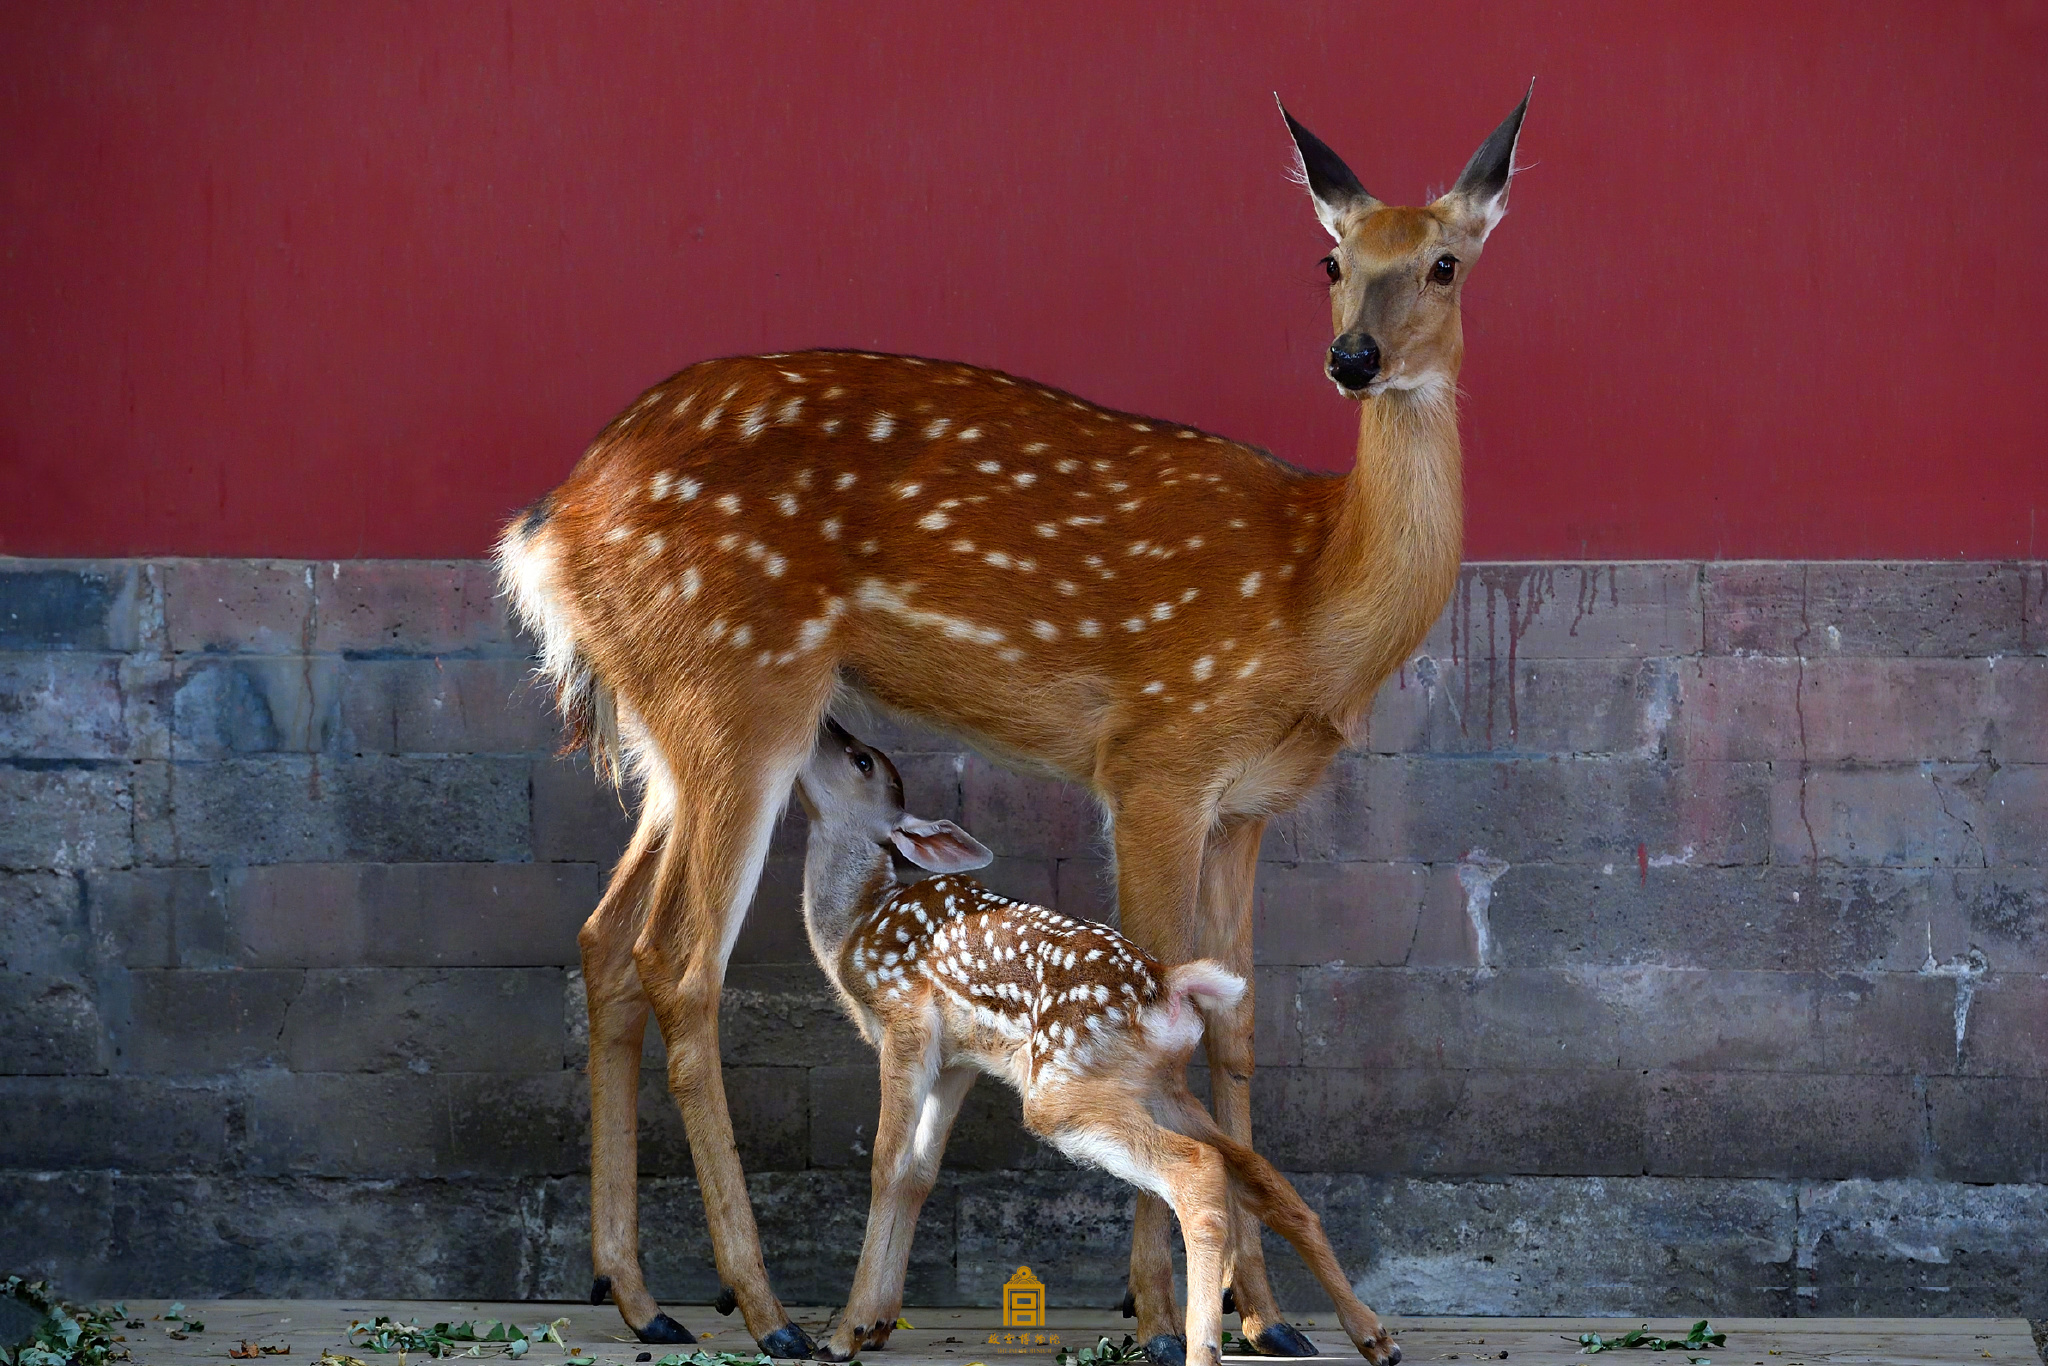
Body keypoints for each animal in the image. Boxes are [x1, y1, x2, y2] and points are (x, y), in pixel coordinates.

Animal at [491, 90, 1523, 1359]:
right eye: (1329, 259)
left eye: (1442, 261)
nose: (1352, 359)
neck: (1311, 595)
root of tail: (547, 527)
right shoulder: (1155, 756)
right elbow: (1163, 996)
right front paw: (1160, 1311)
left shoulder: (1246, 804)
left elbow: (1235, 1028)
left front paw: (1269, 1319)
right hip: (739, 692)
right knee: (676, 961)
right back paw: (768, 1308)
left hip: (664, 726)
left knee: (602, 941)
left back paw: (638, 1294)